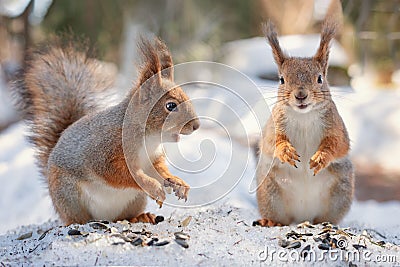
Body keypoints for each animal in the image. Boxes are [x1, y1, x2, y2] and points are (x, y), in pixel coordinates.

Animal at [15, 36, 200, 225]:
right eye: (171, 106)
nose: (196, 125)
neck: (149, 138)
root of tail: (105, 217)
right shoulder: (104, 151)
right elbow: (118, 173)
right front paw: (153, 187)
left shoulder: (152, 159)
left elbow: (158, 170)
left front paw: (177, 182)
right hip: (68, 194)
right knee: (75, 218)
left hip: (135, 200)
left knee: (123, 216)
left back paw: (141, 216)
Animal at [255, 16, 354, 227]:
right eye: (281, 80)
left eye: (320, 78)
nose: (301, 95)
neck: (304, 116)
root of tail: (303, 216)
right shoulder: (273, 125)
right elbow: (270, 142)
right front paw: (286, 151)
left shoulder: (336, 126)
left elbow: (339, 144)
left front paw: (321, 158)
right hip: (269, 191)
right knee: (280, 217)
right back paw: (272, 222)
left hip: (341, 190)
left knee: (326, 216)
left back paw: (326, 223)